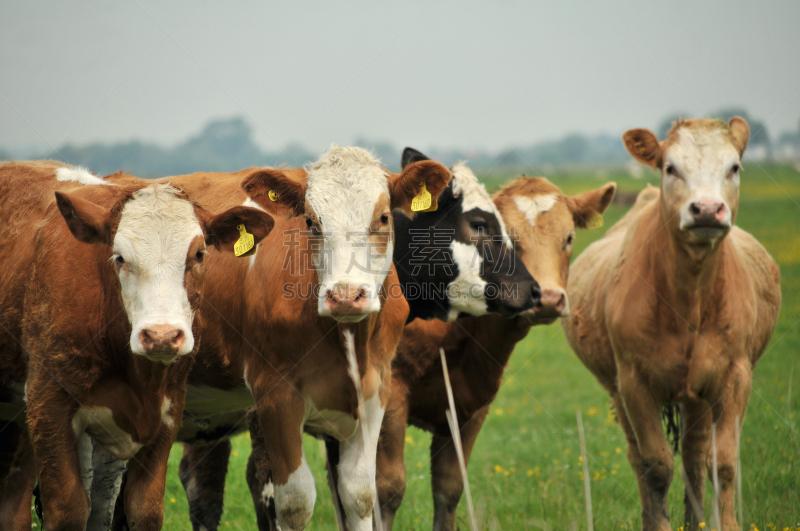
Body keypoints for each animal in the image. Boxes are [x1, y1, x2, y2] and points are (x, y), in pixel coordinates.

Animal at [0, 161, 276, 531]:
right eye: (119, 257)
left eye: (199, 253)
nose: (161, 335)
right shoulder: (49, 405)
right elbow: (69, 509)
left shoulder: (167, 412)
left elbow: (144, 508)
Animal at [564, 117, 780, 531]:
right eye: (670, 167)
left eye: (734, 167)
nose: (708, 209)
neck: (688, 299)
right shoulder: (633, 382)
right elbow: (657, 467)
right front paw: (658, 522)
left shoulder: (735, 376)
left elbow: (723, 464)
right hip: (619, 390)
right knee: (639, 458)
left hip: (697, 394)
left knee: (695, 457)